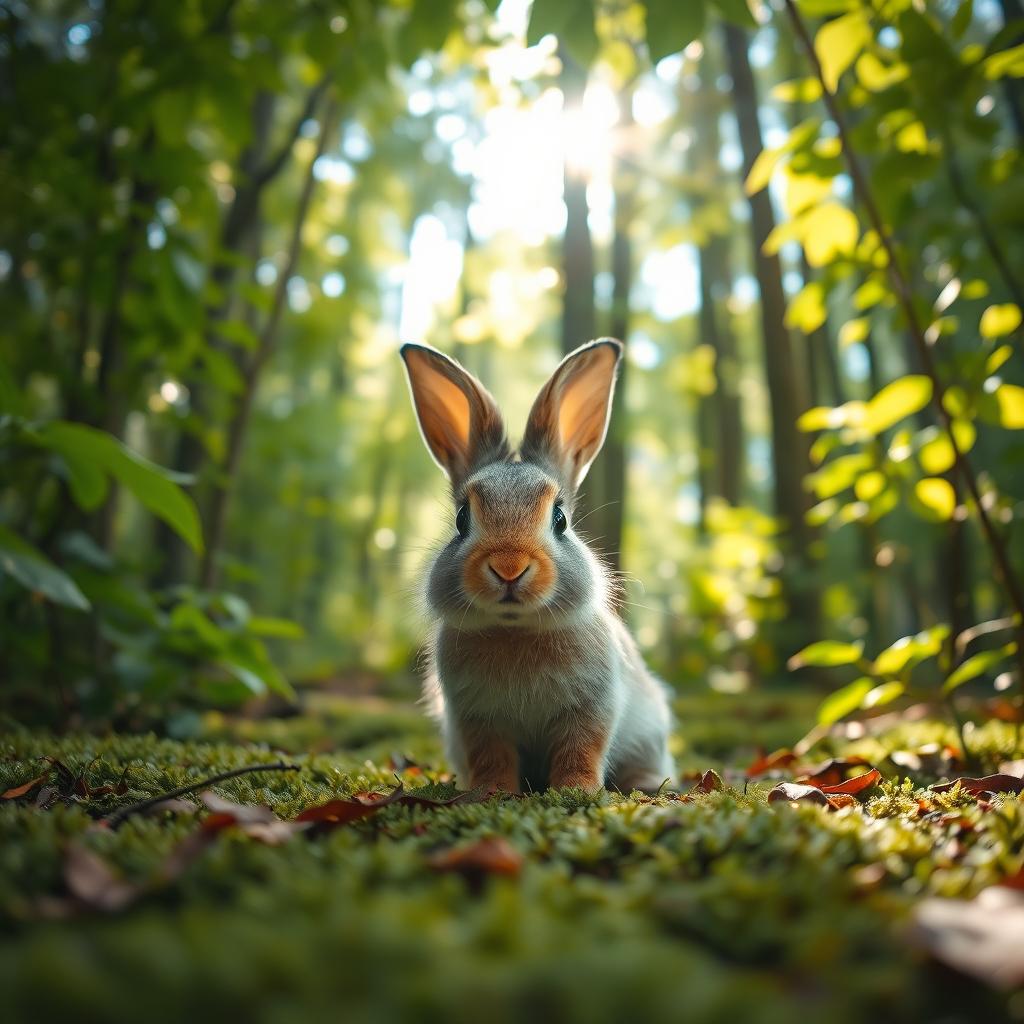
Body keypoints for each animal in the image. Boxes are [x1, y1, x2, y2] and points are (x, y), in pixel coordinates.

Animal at [400, 337, 675, 794]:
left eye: (560, 519)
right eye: (462, 519)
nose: (508, 568)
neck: (516, 629)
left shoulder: (591, 708)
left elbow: (581, 749)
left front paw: (575, 790)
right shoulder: (477, 719)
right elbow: (491, 756)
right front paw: (491, 792)